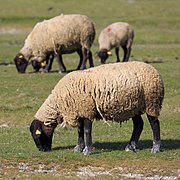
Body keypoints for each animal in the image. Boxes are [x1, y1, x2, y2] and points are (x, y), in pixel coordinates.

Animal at [29, 60, 165, 155]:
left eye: (37, 134)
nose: (42, 150)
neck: (59, 101)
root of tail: (155, 71)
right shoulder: (79, 110)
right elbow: (79, 131)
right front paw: (79, 148)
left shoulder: (87, 109)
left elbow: (86, 130)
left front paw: (87, 150)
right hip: (133, 107)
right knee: (138, 125)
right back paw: (130, 146)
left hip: (151, 103)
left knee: (155, 124)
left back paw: (155, 148)